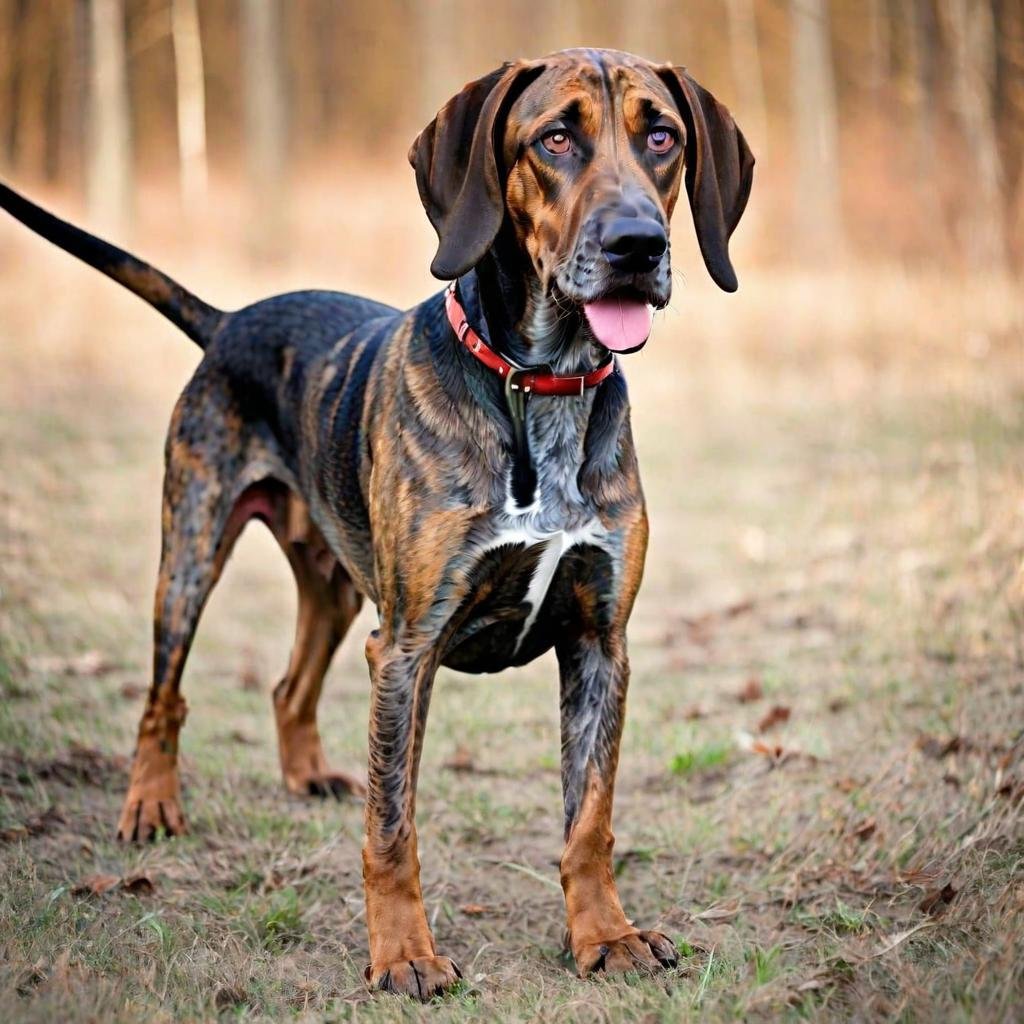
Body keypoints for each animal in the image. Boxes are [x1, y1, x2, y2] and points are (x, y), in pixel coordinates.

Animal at [0, 49, 753, 999]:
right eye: (555, 138)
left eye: (663, 137)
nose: (638, 246)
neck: (537, 388)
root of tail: (230, 320)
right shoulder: (406, 648)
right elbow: (392, 823)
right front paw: (404, 954)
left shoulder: (598, 641)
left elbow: (590, 818)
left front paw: (605, 935)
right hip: (193, 545)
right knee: (163, 692)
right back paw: (151, 804)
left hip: (332, 589)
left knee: (289, 687)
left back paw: (304, 774)